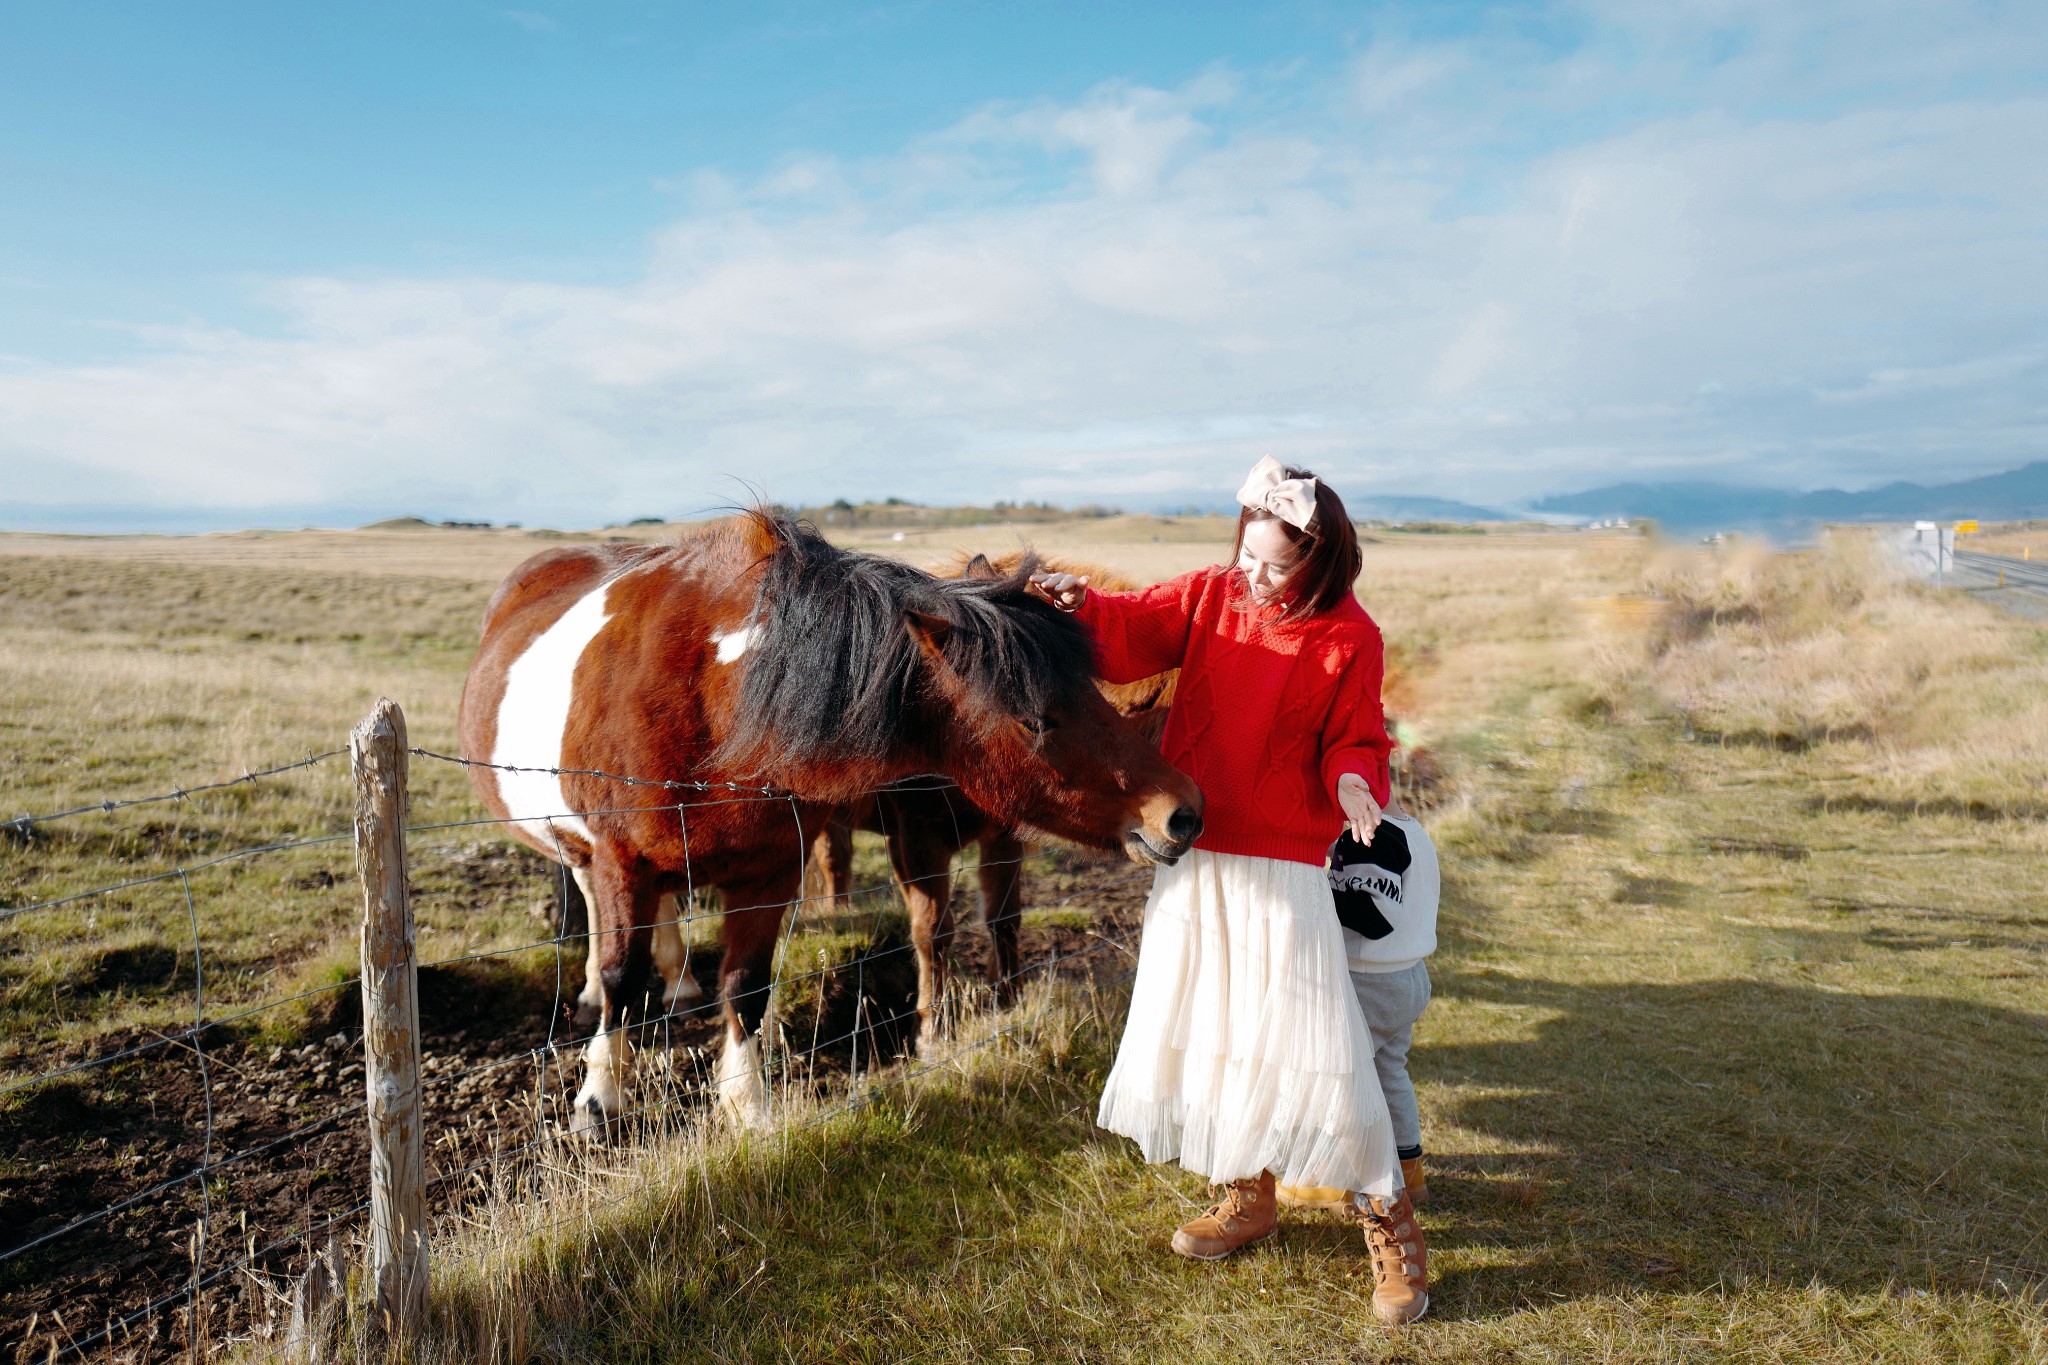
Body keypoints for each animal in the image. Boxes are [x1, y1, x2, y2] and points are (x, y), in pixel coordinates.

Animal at [462, 515, 1196, 1129]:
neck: (723, 702)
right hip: (589, 848)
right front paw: (598, 1100)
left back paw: (682, 982)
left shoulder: (784, 867)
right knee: (597, 905)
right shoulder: (915, 840)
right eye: (1034, 718)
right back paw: (597, 993)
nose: (1183, 811)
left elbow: (750, 986)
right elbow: (625, 977)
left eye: (1096, 692)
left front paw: (748, 1109)